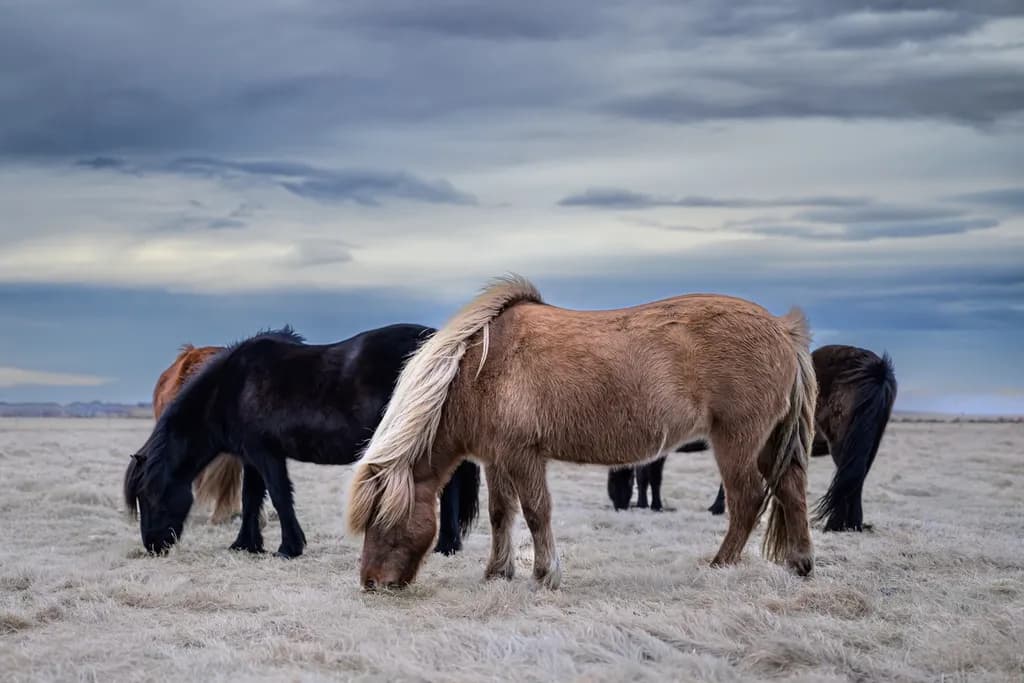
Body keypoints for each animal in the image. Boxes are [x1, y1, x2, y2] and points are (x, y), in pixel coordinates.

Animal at [124, 324, 480, 558]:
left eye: (150, 494)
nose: (152, 546)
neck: (230, 388)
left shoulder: (265, 453)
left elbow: (280, 496)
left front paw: (288, 548)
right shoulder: (252, 456)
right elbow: (251, 498)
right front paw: (245, 545)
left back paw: (445, 545)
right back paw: (447, 545)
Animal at [347, 275, 817, 591]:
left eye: (381, 519)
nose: (371, 583)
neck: (481, 369)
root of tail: (783, 329)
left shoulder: (523, 455)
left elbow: (536, 512)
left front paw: (544, 575)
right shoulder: (497, 460)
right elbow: (502, 514)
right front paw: (498, 572)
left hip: (736, 441)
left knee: (747, 500)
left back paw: (721, 565)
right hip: (769, 442)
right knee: (791, 491)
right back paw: (800, 563)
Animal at [619, 345, 895, 533]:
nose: (620, 506)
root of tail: (876, 369)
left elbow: (648, 476)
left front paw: (649, 504)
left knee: (849, 480)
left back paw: (836, 524)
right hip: (866, 446)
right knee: (855, 480)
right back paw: (851, 524)